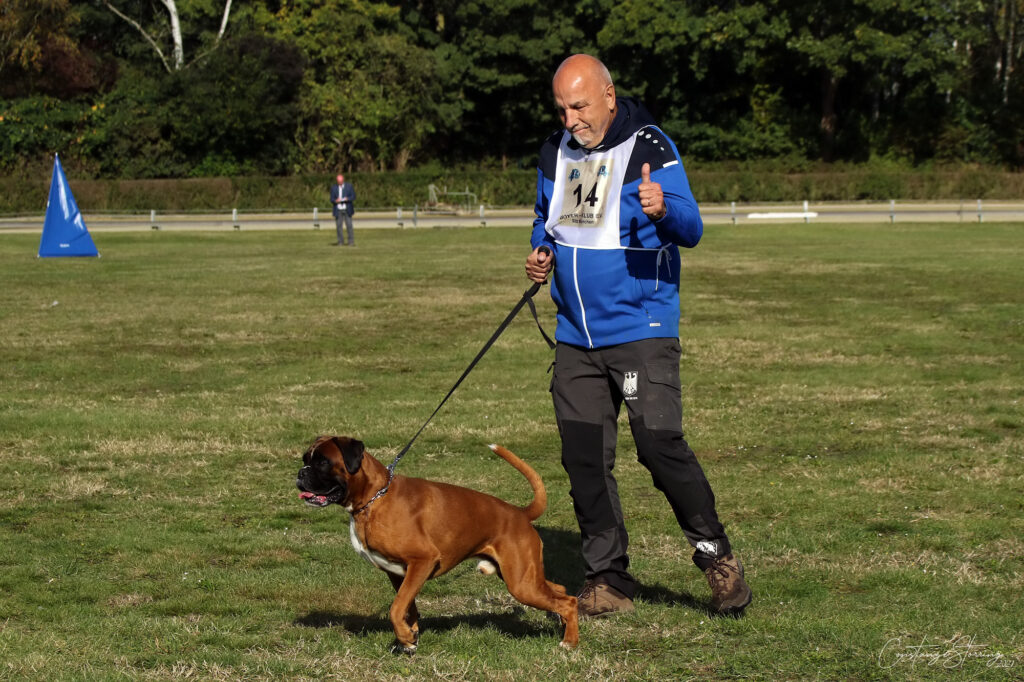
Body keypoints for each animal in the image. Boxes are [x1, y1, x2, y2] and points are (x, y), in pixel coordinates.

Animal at [296, 436, 581, 655]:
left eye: (322, 462)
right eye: (305, 459)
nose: (300, 473)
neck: (374, 498)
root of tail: (519, 513)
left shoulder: (422, 562)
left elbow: (395, 608)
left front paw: (405, 638)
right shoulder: (398, 574)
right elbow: (406, 607)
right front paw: (409, 639)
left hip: (521, 584)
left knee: (568, 602)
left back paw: (569, 642)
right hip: (524, 578)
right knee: (561, 591)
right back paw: (561, 625)